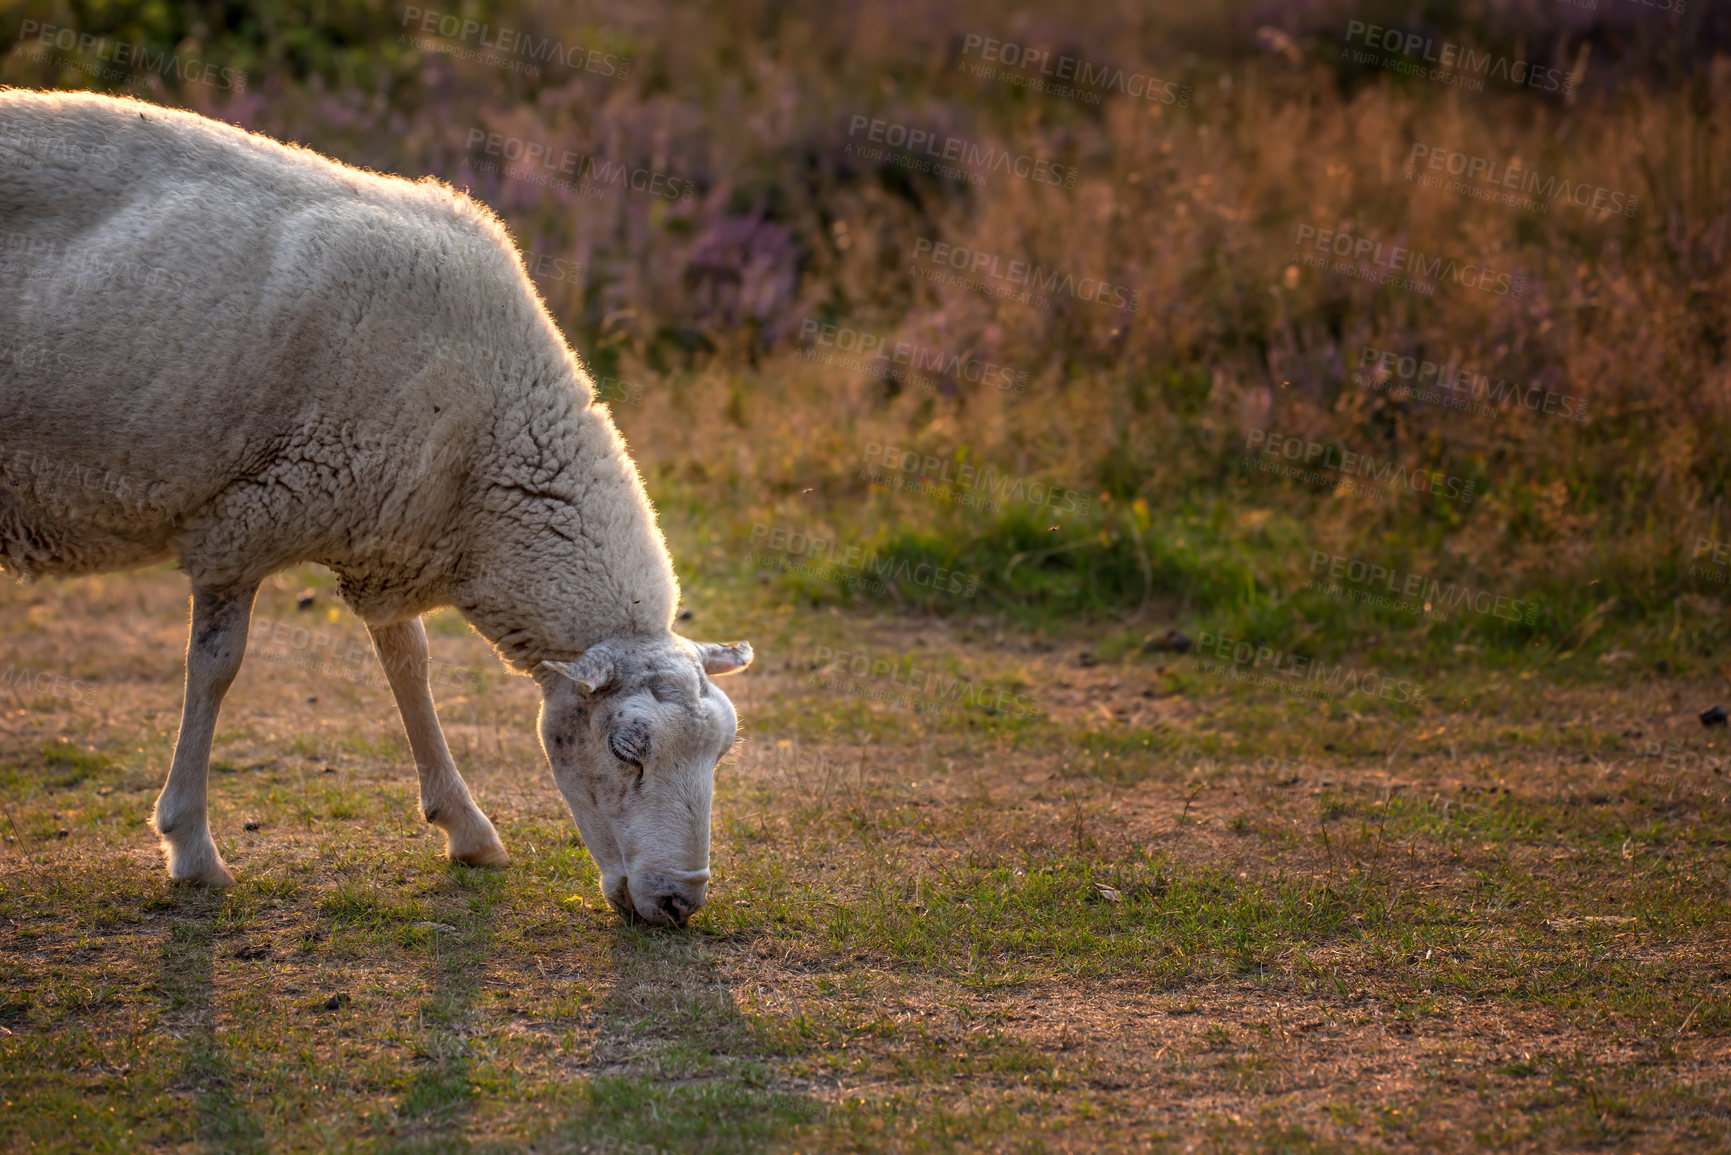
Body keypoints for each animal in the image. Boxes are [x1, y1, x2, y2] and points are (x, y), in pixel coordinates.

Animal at [3, 85, 754, 928]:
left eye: (723, 750)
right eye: (628, 749)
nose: (680, 900)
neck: (489, 441)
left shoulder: (393, 525)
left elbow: (409, 665)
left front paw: (466, 827)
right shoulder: (244, 522)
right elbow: (217, 669)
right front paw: (190, 847)